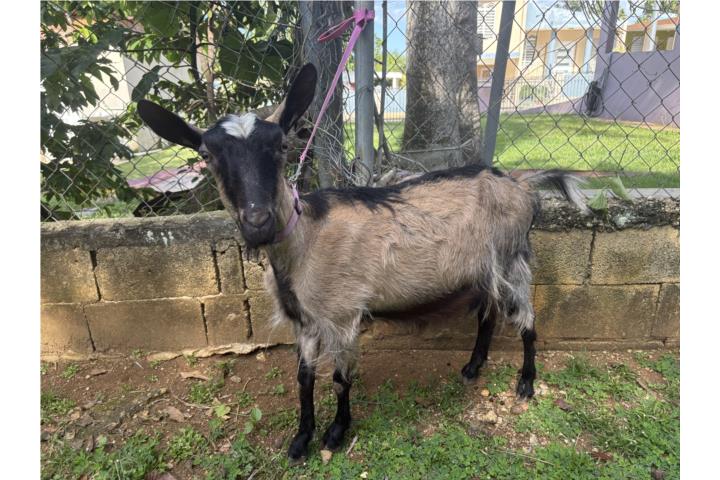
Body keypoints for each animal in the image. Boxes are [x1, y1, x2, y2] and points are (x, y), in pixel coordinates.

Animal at [137, 63, 588, 463]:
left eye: (281, 146)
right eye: (207, 154)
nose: (258, 221)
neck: (305, 242)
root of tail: (520, 183)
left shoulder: (342, 313)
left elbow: (339, 379)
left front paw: (336, 433)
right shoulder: (305, 320)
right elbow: (303, 379)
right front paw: (300, 440)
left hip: (513, 257)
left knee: (526, 319)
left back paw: (526, 383)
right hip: (484, 268)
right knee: (488, 314)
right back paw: (473, 367)